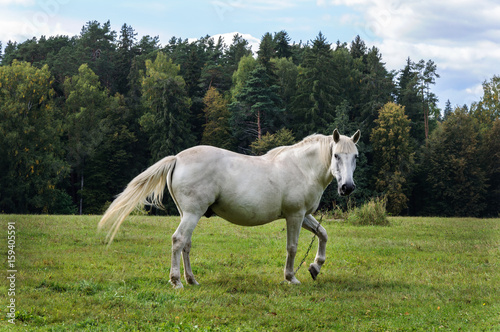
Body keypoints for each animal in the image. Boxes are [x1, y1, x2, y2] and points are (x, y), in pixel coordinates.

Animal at [97, 128, 360, 290]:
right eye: (336, 155)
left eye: (355, 156)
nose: (347, 187)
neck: (302, 167)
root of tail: (178, 158)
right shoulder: (294, 216)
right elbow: (292, 248)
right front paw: (291, 277)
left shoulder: (305, 216)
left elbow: (323, 234)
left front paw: (315, 267)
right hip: (192, 214)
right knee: (178, 240)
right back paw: (177, 281)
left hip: (188, 214)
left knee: (186, 244)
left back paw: (192, 280)